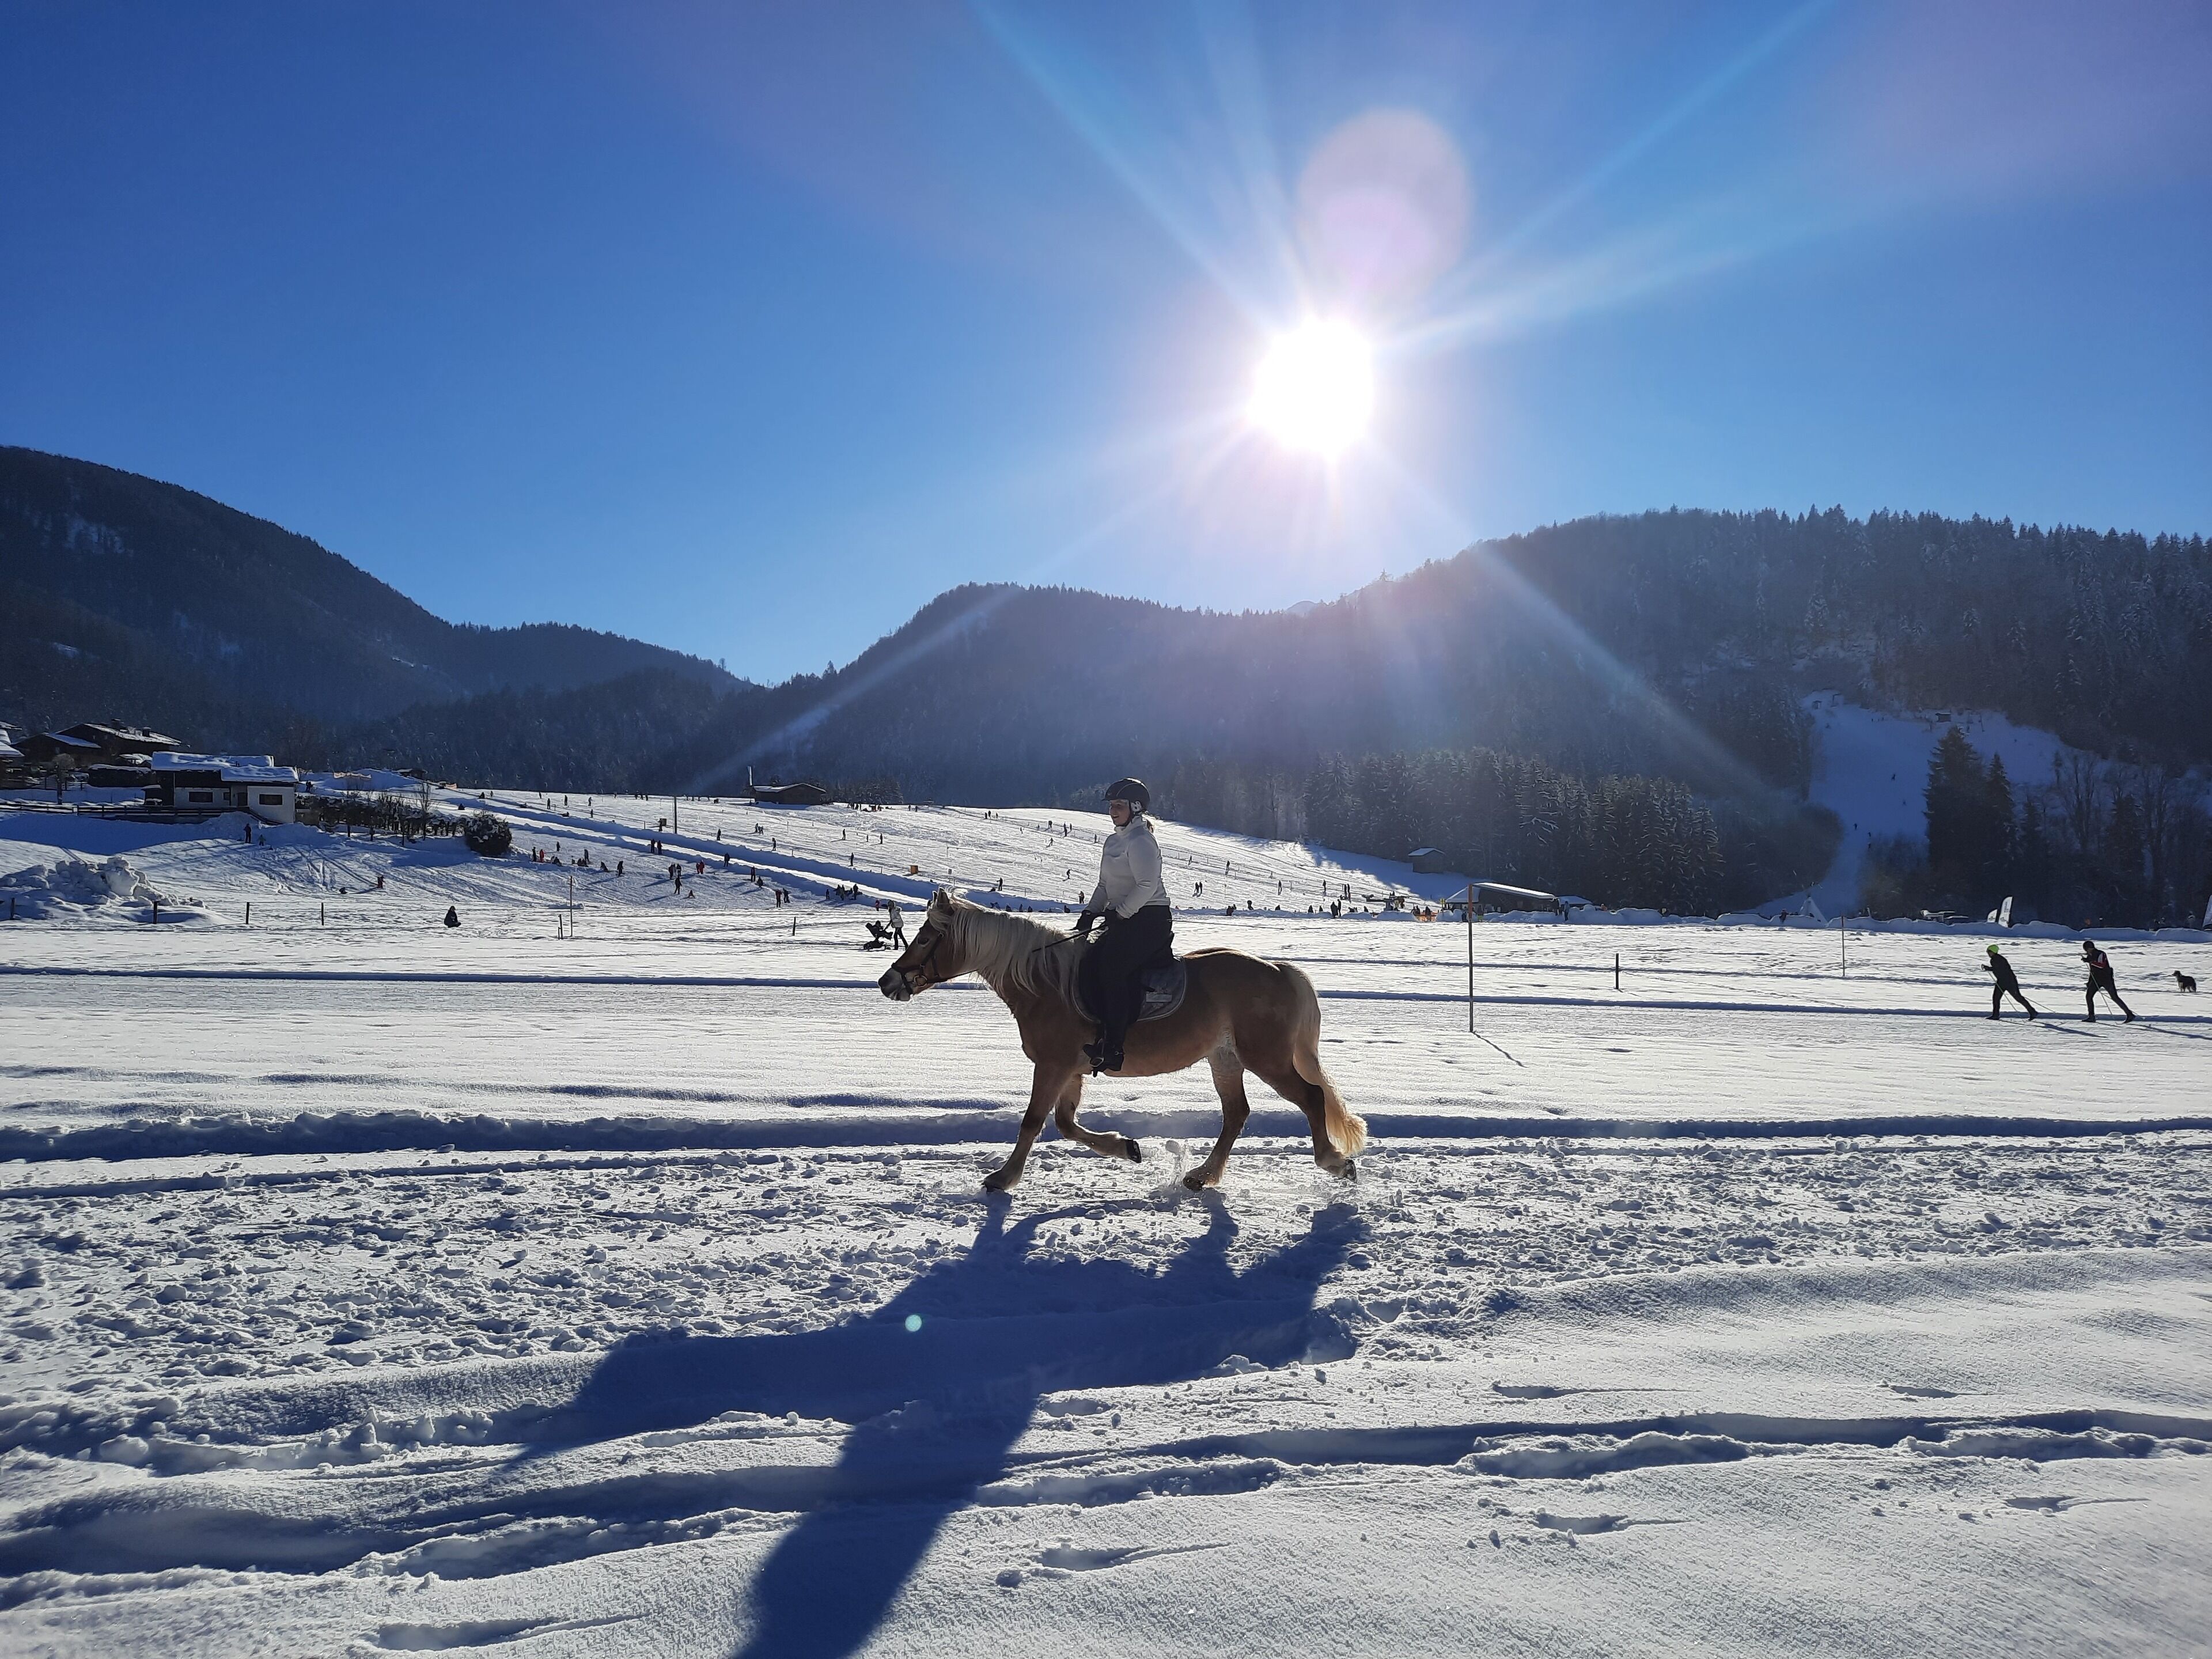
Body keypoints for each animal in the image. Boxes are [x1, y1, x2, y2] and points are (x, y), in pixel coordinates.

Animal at [877, 890, 1365, 1193]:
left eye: (925, 938)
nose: (887, 982)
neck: (1046, 983)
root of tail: (1279, 970)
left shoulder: (1052, 1066)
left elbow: (1033, 1122)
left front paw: (1004, 1177)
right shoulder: (1071, 1070)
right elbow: (1065, 1124)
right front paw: (1126, 1147)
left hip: (1267, 1058)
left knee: (1311, 1097)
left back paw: (1334, 1161)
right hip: (1225, 1058)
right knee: (1236, 1114)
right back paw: (1203, 1175)